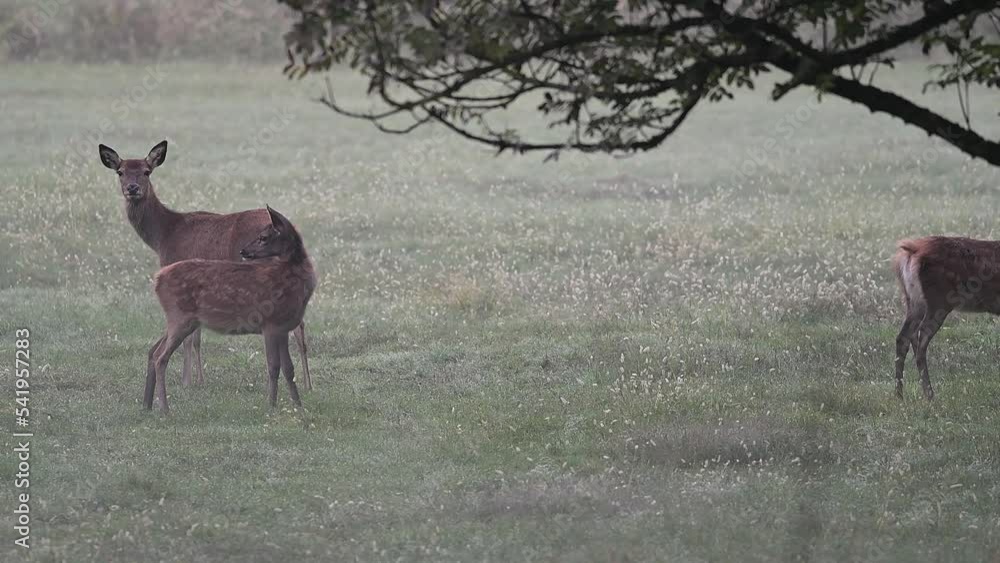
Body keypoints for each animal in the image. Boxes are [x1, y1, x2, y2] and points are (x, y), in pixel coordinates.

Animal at [98, 139, 312, 390]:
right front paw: (199, 379)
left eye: (146, 171)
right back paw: (307, 383)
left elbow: (191, 338)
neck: (164, 235)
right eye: (120, 172)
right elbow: (197, 336)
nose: (132, 188)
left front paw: (187, 382)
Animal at [145, 205, 314, 412]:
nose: (244, 250)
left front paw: (298, 405)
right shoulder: (271, 324)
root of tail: (158, 278)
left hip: (181, 320)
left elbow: (288, 368)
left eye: (264, 237)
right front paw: (271, 406)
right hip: (180, 318)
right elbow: (274, 366)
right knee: (160, 356)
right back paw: (164, 409)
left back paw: (147, 405)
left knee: (154, 351)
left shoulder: (282, 327)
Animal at [892, 237, 1000, 400]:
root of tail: (912, 250)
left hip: (914, 302)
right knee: (920, 340)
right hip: (938, 300)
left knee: (903, 337)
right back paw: (929, 394)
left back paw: (900, 395)